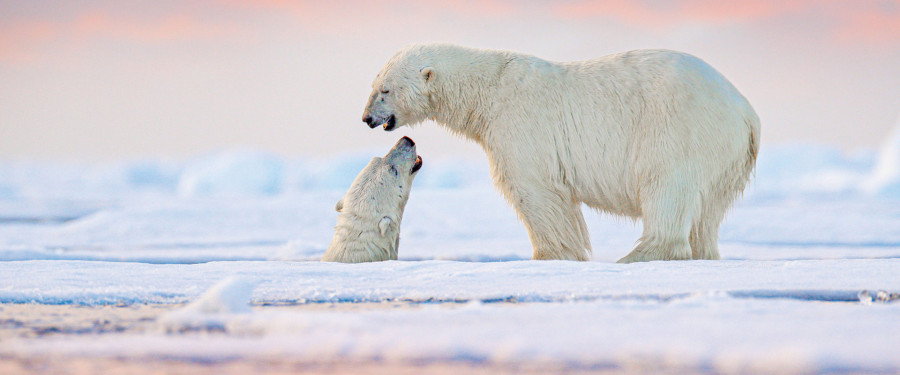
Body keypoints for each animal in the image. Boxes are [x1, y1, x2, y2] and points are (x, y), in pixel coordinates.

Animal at [362, 44, 756, 262]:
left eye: (385, 90)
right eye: (375, 85)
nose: (366, 118)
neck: (488, 90)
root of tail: (746, 112)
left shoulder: (519, 124)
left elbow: (535, 191)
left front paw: (552, 255)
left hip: (680, 129)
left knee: (666, 186)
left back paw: (636, 256)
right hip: (727, 156)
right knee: (707, 213)